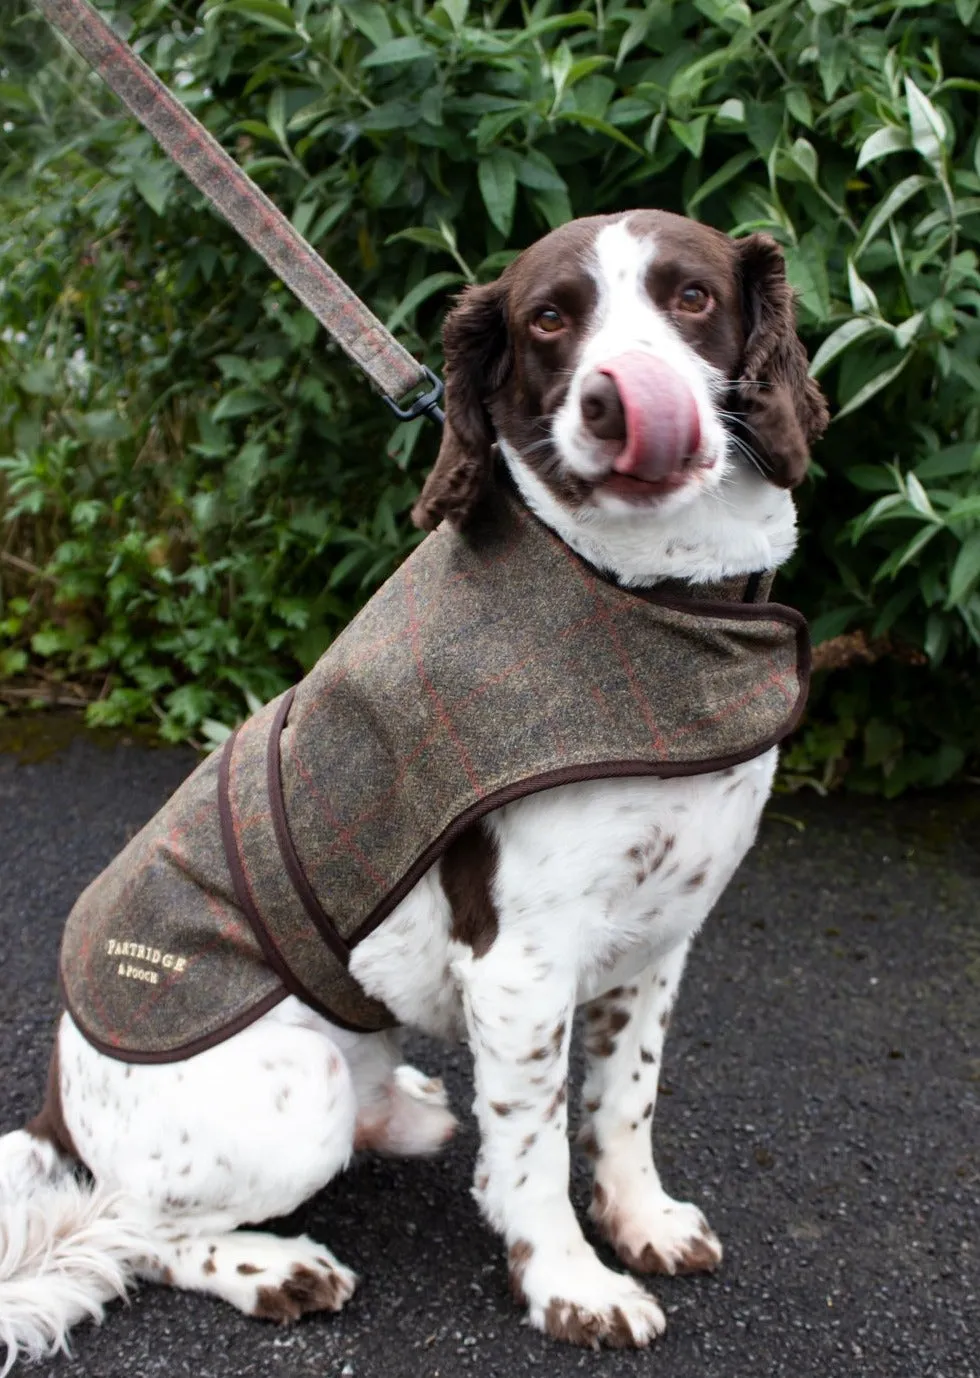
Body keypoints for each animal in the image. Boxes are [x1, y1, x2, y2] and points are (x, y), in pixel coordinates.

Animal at [0, 209, 827, 1361]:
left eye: (692, 297)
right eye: (548, 318)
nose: (619, 399)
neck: (648, 594)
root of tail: (57, 1109)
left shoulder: (658, 938)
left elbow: (624, 1100)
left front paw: (642, 1220)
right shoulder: (521, 964)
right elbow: (531, 1154)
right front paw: (571, 1286)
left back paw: (402, 1107)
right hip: (283, 1092)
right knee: (133, 1226)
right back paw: (272, 1267)